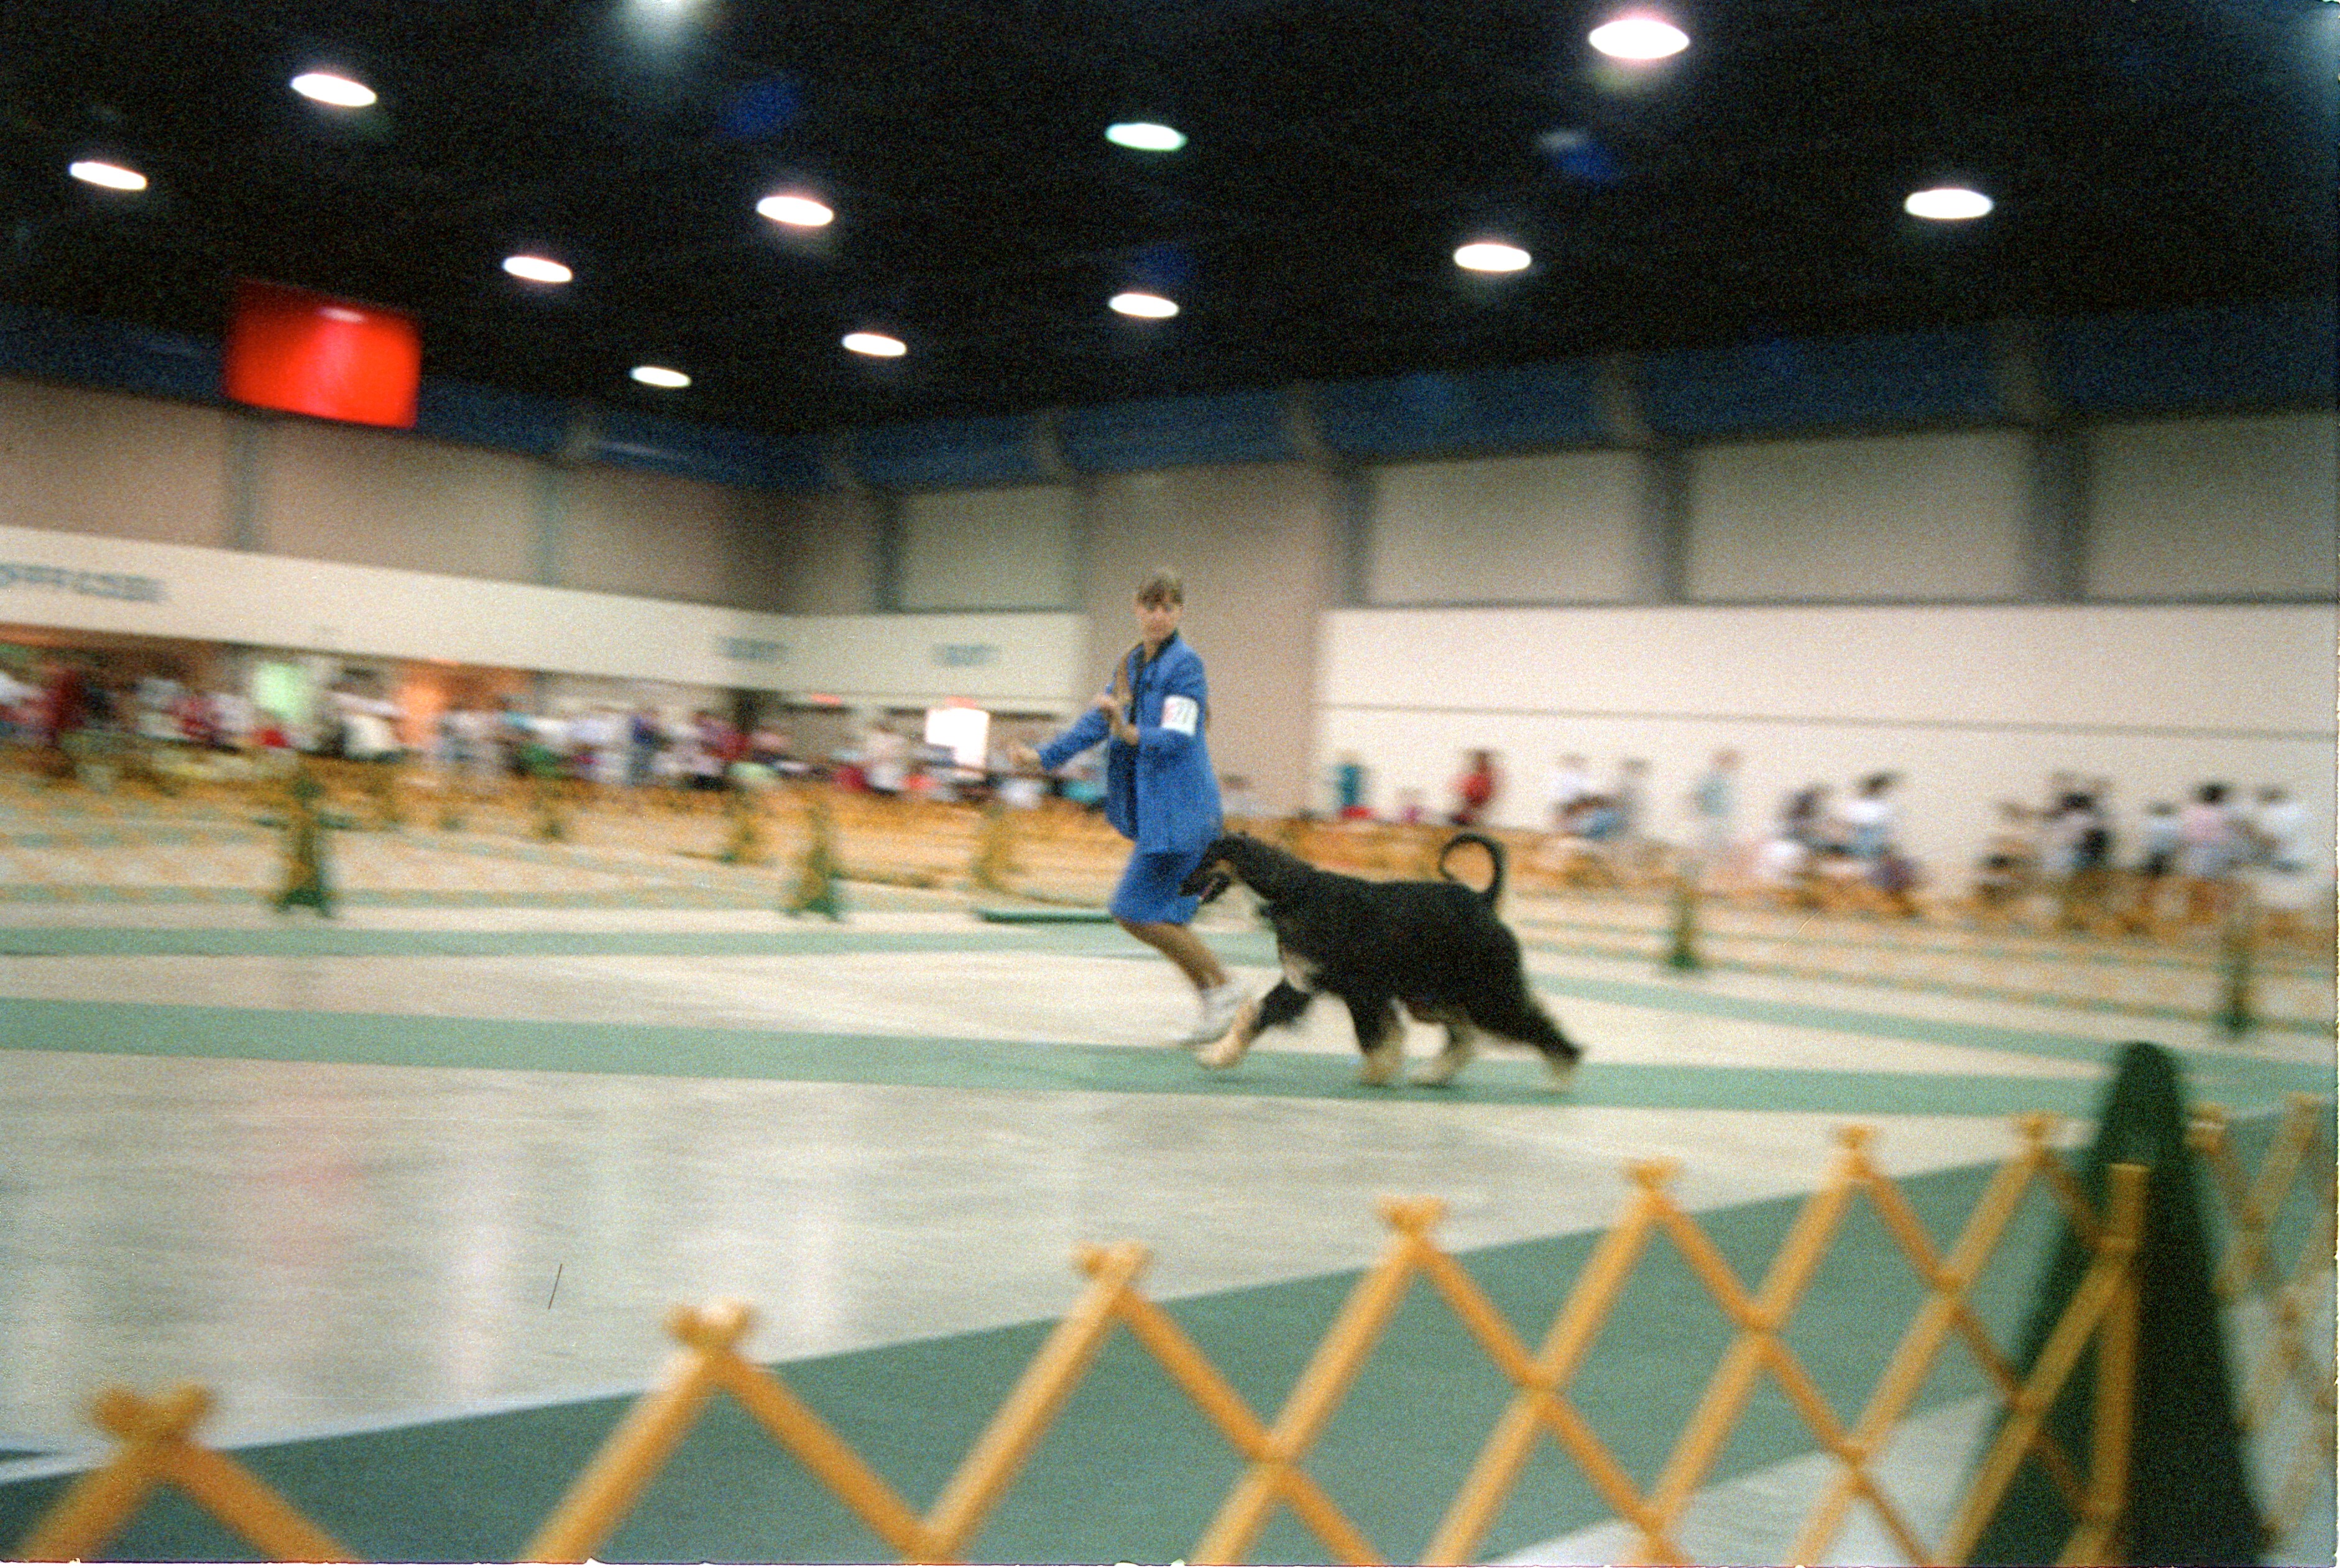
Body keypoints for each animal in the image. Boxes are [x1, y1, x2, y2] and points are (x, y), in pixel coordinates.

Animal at [1178, 831, 1584, 1088]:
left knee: (1535, 1026)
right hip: (1431, 996)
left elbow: (1257, 1015)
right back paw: (1434, 1075)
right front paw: (1383, 1071)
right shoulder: (1348, 989)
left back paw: (1563, 1072)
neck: (1294, 893)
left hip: (1486, 994)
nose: (1181, 886)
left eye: (1208, 859)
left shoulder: (1316, 986)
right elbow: (1378, 1035)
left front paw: (1216, 1057)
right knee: (1464, 1036)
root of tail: (1483, 901)